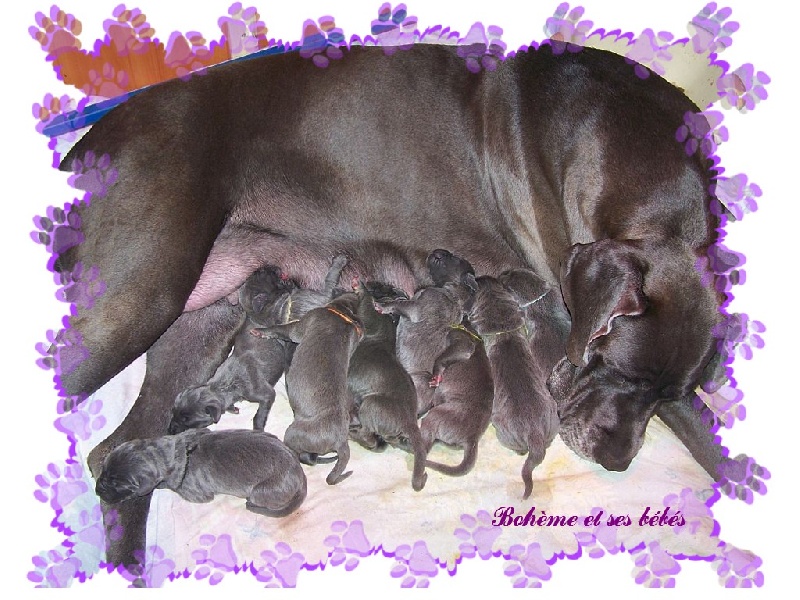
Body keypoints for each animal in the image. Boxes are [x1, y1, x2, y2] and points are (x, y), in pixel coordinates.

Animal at [94, 428, 306, 516]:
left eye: (116, 484)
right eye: (103, 470)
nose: (97, 490)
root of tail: (300, 473)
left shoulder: (195, 494)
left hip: (260, 492)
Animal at [252, 292, 360, 486]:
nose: (357, 291)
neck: (341, 314)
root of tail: (340, 441)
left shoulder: (300, 326)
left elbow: (282, 329)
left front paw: (260, 331)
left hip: (294, 433)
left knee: (301, 453)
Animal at [346, 282, 428, 492]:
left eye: (383, 286)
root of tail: (409, 421)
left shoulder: (372, 317)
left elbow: (367, 304)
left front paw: (360, 287)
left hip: (371, 404)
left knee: (367, 434)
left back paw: (352, 433)